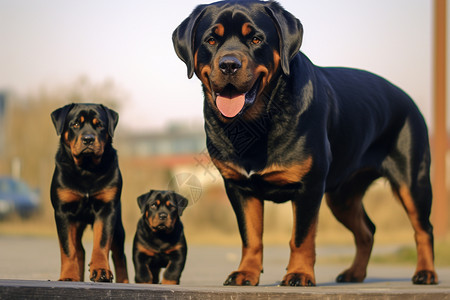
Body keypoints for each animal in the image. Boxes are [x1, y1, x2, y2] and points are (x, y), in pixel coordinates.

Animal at [50, 103, 128, 284]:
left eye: (99, 125)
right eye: (75, 124)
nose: (88, 139)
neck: (86, 169)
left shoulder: (107, 209)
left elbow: (101, 243)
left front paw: (101, 271)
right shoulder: (63, 212)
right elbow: (68, 249)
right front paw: (68, 276)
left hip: (118, 225)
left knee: (120, 256)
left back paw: (124, 281)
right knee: (79, 250)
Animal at [174, 0, 438, 286]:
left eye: (256, 39)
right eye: (211, 40)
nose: (229, 64)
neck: (254, 124)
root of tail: (407, 98)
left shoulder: (309, 186)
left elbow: (301, 237)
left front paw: (299, 273)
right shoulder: (238, 187)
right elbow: (251, 236)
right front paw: (246, 273)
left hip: (412, 181)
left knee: (423, 228)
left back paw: (426, 273)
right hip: (342, 196)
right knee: (367, 230)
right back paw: (354, 273)